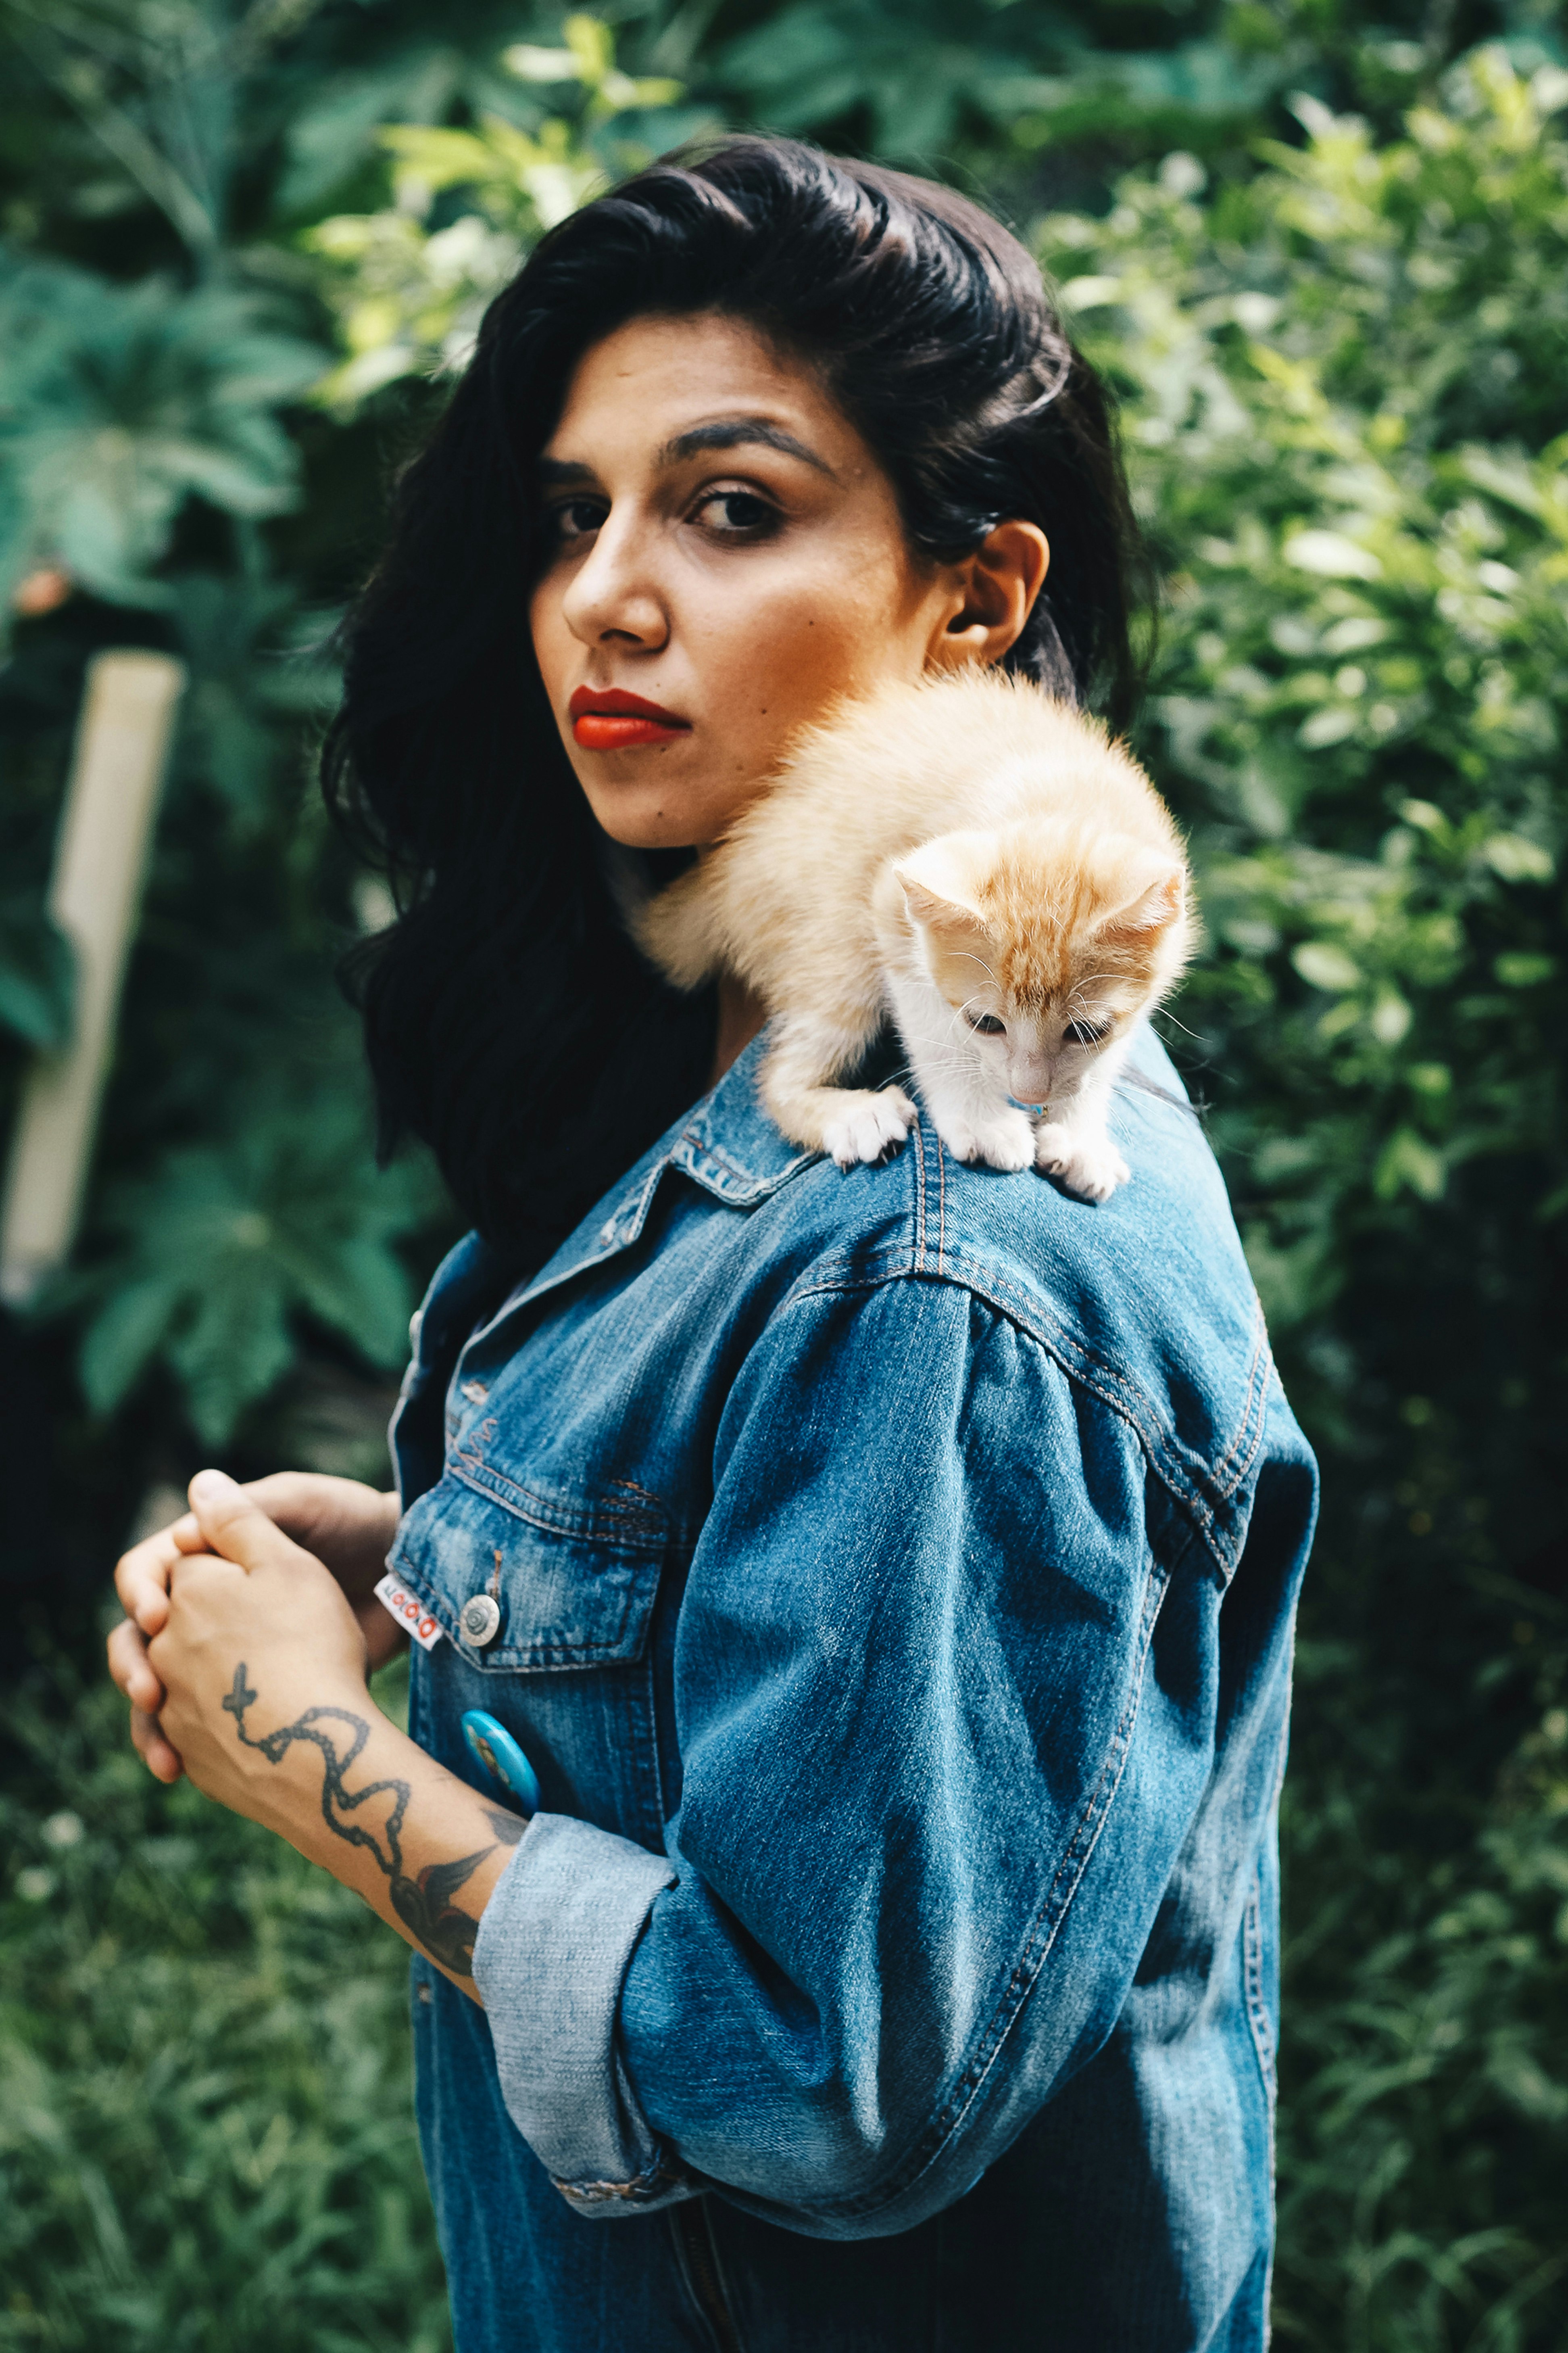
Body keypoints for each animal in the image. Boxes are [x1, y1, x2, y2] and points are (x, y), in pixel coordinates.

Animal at [634, 673, 1189, 1205]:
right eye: (985, 1024)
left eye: (1086, 1031)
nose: (1029, 1094)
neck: (1060, 796)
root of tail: (727, 866)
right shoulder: (888, 902)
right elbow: (933, 1032)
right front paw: (982, 1119)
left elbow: (1106, 1059)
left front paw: (1079, 1136)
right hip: (838, 940)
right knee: (779, 1076)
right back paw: (852, 1115)